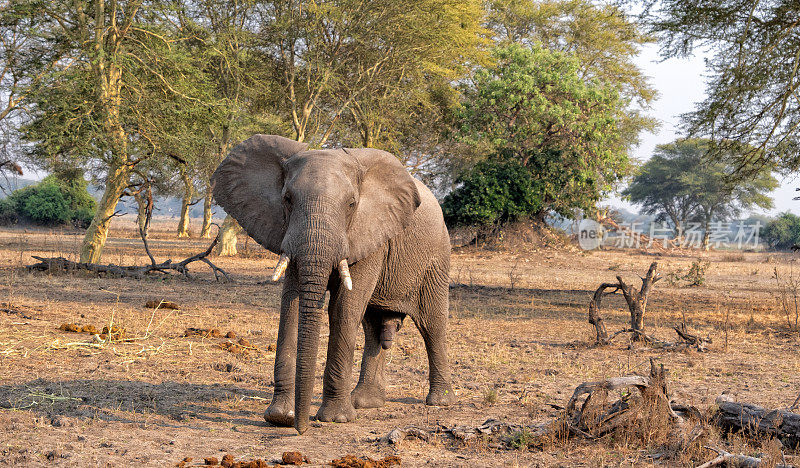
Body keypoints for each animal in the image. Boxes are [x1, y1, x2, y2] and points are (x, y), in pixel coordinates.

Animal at [209, 133, 454, 434]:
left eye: (351, 204)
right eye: (287, 199)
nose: (300, 428)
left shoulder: (369, 233)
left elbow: (343, 310)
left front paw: (335, 419)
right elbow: (291, 305)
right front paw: (279, 416)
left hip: (437, 257)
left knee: (432, 324)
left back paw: (440, 402)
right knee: (373, 328)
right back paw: (365, 402)